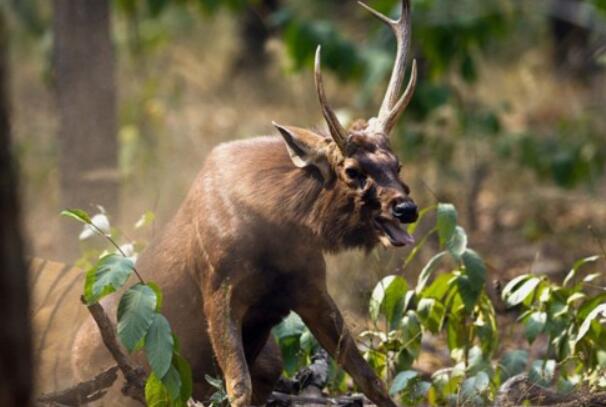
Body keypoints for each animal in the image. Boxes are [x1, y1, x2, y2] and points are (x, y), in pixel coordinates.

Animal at [71, 0, 420, 407]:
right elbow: (238, 387)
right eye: (352, 170)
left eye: (397, 164)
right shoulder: (218, 291)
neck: (277, 231)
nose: (406, 209)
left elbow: (368, 376)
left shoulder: (310, 287)